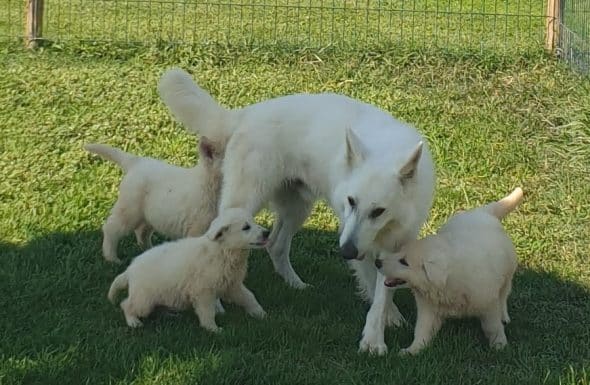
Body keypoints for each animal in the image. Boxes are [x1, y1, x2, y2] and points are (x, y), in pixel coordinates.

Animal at [86, 136, 225, 262]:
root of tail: (136, 162)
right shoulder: (197, 228)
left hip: (150, 214)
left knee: (141, 231)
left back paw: (148, 251)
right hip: (129, 210)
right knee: (111, 228)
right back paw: (112, 258)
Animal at [108, 208, 270, 332]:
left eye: (253, 222)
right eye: (246, 227)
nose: (267, 232)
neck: (223, 251)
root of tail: (129, 271)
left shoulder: (232, 285)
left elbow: (249, 297)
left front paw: (261, 313)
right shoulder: (204, 291)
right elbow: (207, 311)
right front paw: (213, 329)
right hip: (144, 299)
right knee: (126, 305)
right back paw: (133, 321)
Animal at [376, 187, 524, 354]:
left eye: (404, 262)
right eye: (399, 252)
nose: (377, 262)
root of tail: (483, 212)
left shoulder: (488, 303)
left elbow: (493, 326)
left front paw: (499, 346)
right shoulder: (428, 308)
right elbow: (422, 330)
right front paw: (412, 350)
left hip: (508, 273)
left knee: (503, 296)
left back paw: (504, 316)